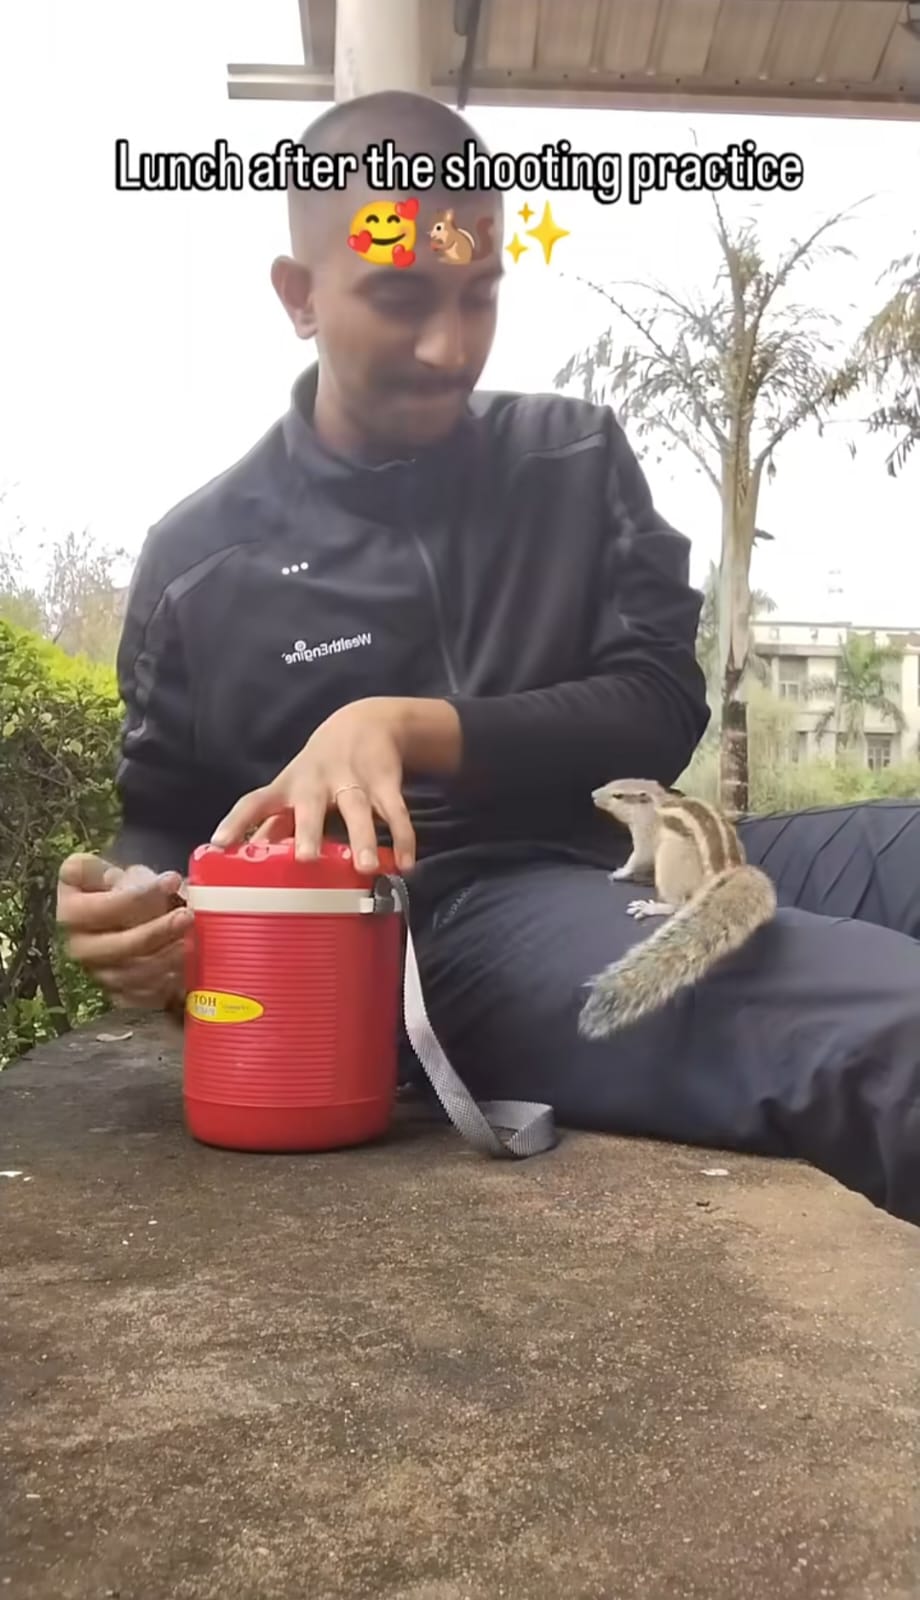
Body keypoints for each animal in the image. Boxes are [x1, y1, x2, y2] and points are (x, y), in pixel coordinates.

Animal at [577, 779, 777, 1040]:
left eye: (618, 795)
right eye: (611, 784)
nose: (592, 794)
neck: (655, 806)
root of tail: (727, 872)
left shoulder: (645, 836)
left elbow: (637, 858)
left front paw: (620, 872)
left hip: (670, 859)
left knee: (678, 903)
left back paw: (652, 906)